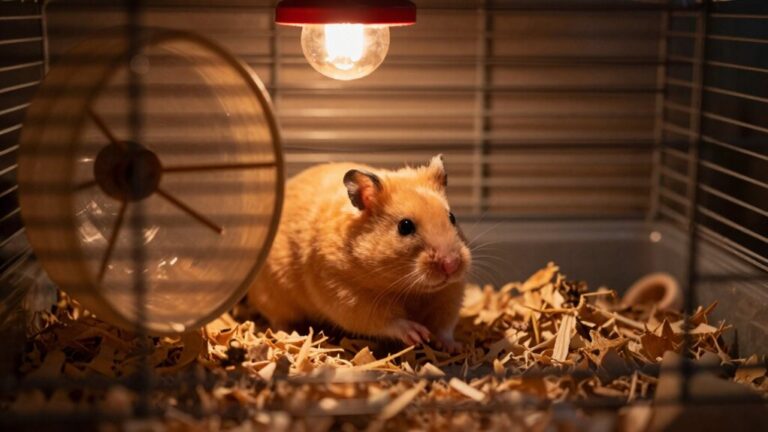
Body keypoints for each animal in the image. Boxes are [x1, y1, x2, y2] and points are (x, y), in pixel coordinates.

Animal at [248, 155, 471, 351]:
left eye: (452, 217)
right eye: (405, 226)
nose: (451, 264)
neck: (410, 289)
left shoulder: (449, 295)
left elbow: (445, 327)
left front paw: (454, 347)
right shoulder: (348, 296)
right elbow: (389, 322)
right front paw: (418, 335)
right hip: (273, 298)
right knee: (278, 320)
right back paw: (289, 334)